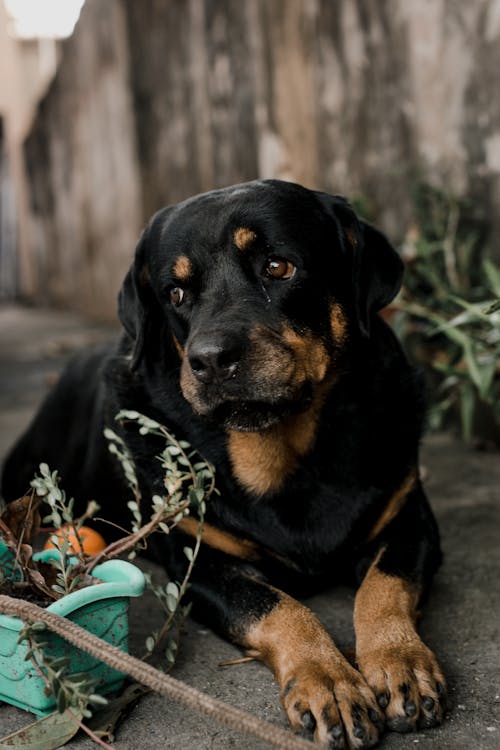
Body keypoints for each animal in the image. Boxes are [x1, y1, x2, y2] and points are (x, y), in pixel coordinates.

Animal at [0, 179, 446, 748]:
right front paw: (328, 680)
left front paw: (399, 660)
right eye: (175, 294)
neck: (283, 454)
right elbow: (277, 607)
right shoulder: (200, 560)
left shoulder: (409, 520)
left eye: (278, 267)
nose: (210, 359)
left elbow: (384, 588)